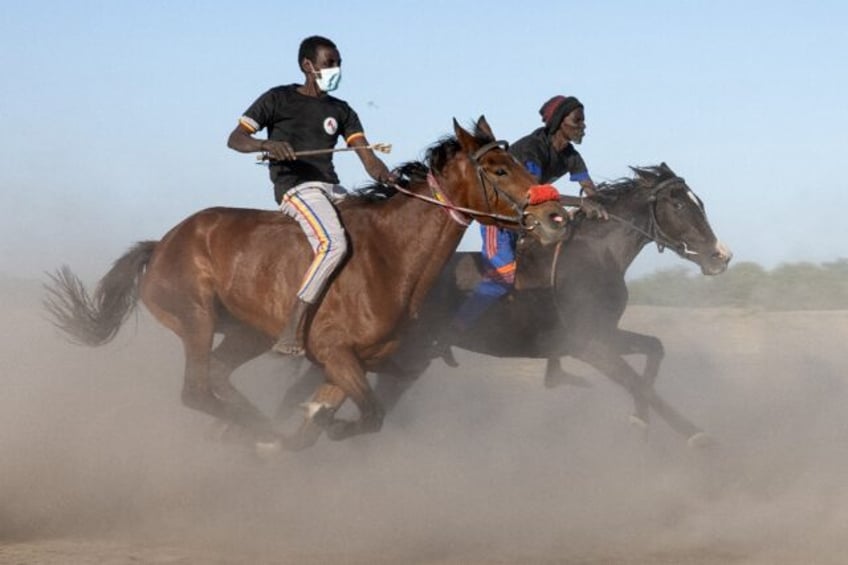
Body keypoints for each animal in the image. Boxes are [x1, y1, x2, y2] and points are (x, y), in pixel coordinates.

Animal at [43, 117, 568, 452]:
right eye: (499, 169)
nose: (556, 217)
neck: (392, 257)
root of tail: (162, 244)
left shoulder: (350, 364)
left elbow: (333, 419)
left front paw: (306, 425)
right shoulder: (336, 353)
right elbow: (370, 415)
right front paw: (302, 432)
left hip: (248, 332)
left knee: (219, 376)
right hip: (196, 318)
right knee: (196, 391)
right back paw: (256, 430)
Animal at [282, 162, 732, 446]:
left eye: (699, 201)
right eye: (679, 204)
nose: (721, 256)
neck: (595, 255)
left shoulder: (602, 335)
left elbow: (654, 350)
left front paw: (643, 419)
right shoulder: (588, 344)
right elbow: (637, 381)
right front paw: (692, 433)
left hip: (407, 359)